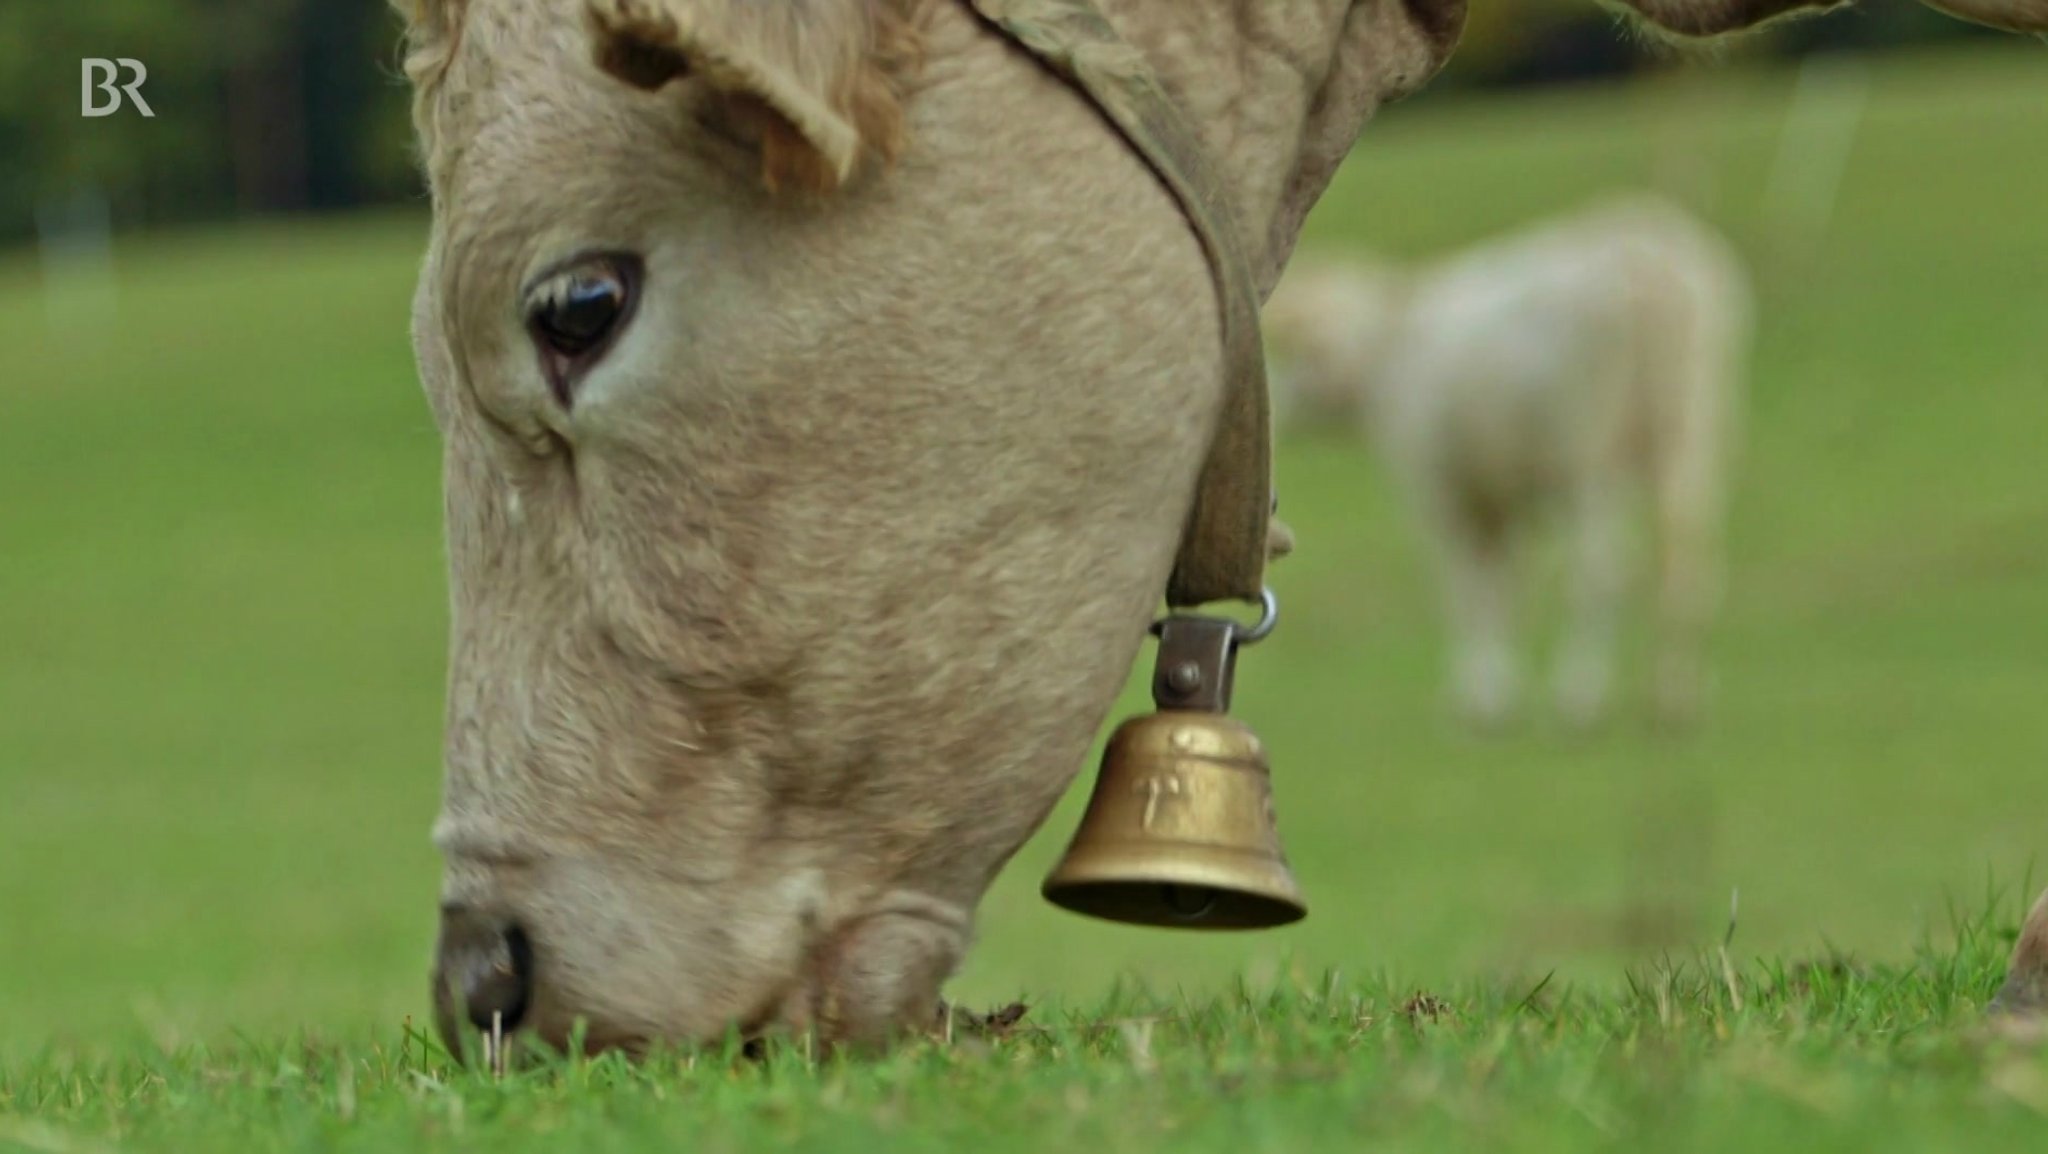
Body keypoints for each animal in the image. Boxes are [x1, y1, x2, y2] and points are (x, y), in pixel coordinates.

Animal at [1253, 193, 1753, 725]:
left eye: (1291, 355)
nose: (1274, 418)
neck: (1386, 358)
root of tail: (1650, 260)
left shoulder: (1442, 493)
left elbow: (1469, 589)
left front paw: (1480, 694)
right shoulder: (1506, 496)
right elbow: (1510, 587)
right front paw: (1504, 689)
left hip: (1591, 454)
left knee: (1601, 569)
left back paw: (1579, 693)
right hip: (1692, 437)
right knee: (1689, 560)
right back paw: (1675, 694)